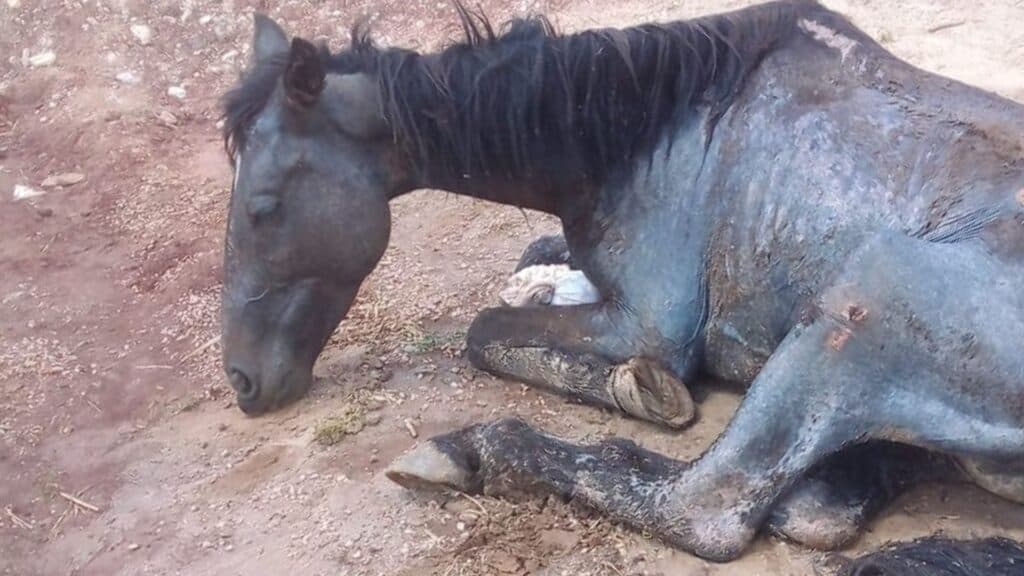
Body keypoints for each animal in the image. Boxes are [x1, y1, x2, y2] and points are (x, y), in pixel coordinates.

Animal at [219, 0, 1024, 562]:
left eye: (262, 208)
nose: (243, 381)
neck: (658, 128)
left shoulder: (647, 324)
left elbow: (486, 333)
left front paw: (641, 389)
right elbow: (530, 267)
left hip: (864, 298)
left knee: (703, 508)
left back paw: (476, 451)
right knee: (815, 505)